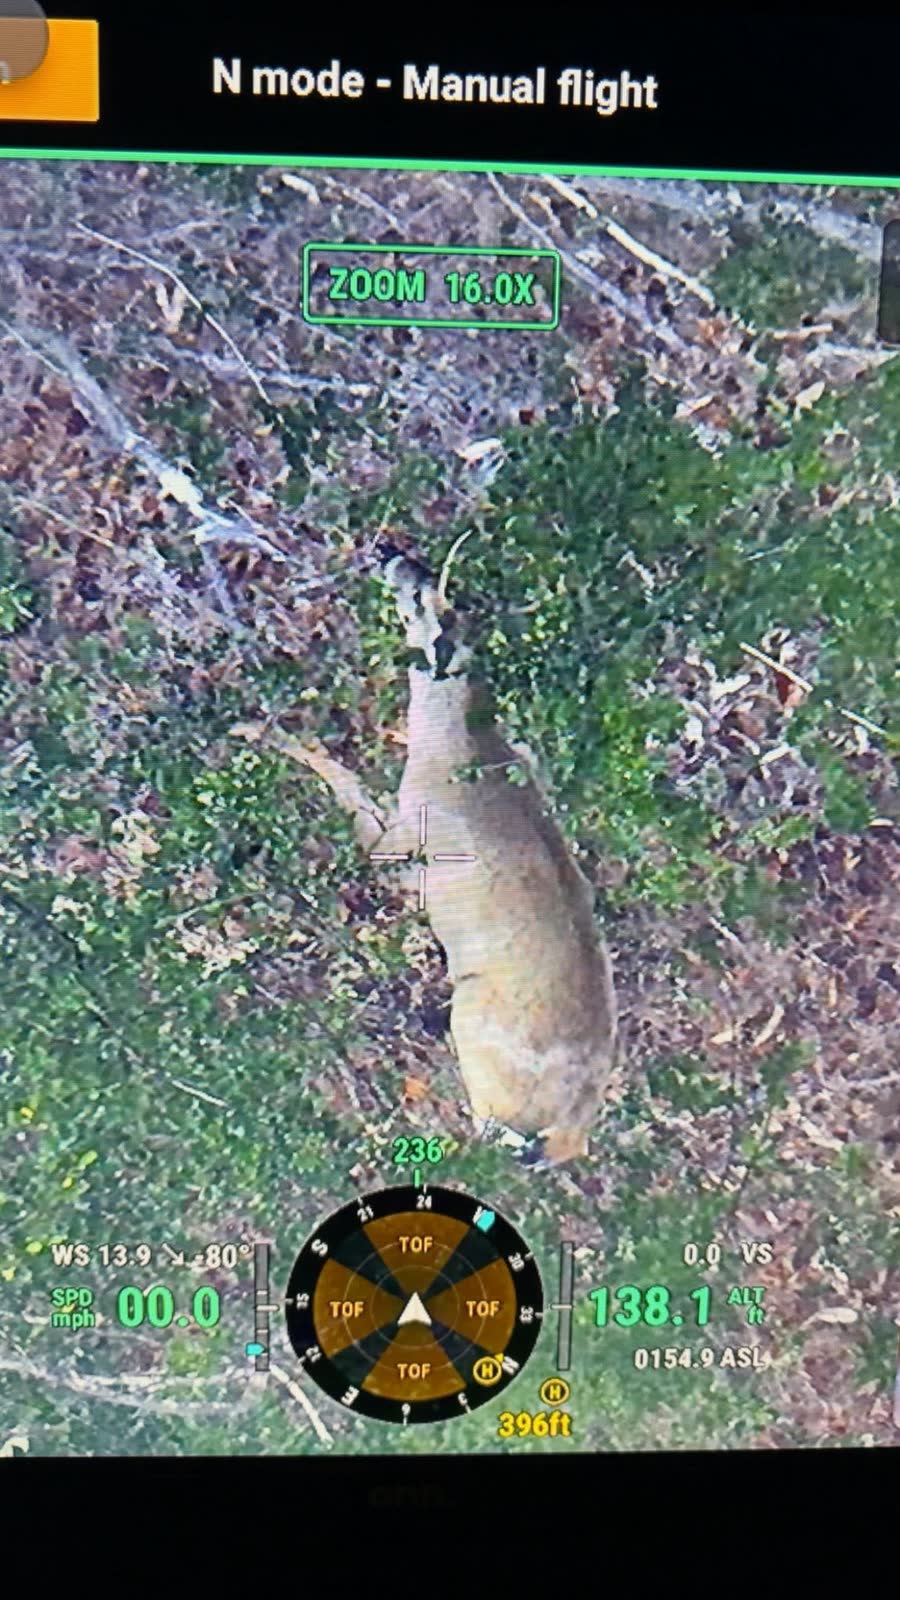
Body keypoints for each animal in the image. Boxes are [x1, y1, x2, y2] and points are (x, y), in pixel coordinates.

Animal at [233, 543, 617, 1164]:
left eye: (420, 599)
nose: (394, 553)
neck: (461, 742)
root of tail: (568, 1131)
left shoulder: (401, 842)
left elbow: (345, 784)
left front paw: (254, 728)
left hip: (473, 1023)